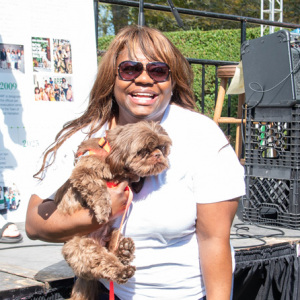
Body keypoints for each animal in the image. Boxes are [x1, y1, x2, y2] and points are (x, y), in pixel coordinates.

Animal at [53, 120, 171, 298]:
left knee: (113, 248)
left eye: (161, 147)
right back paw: (122, 271)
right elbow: (98, 187)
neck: (110, 153)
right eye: (143, 151)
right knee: (104, 262)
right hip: (83, 248)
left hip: (114, 232)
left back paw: (124, 249)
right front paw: (103, 209)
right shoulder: (84, 172)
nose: (158, 154)